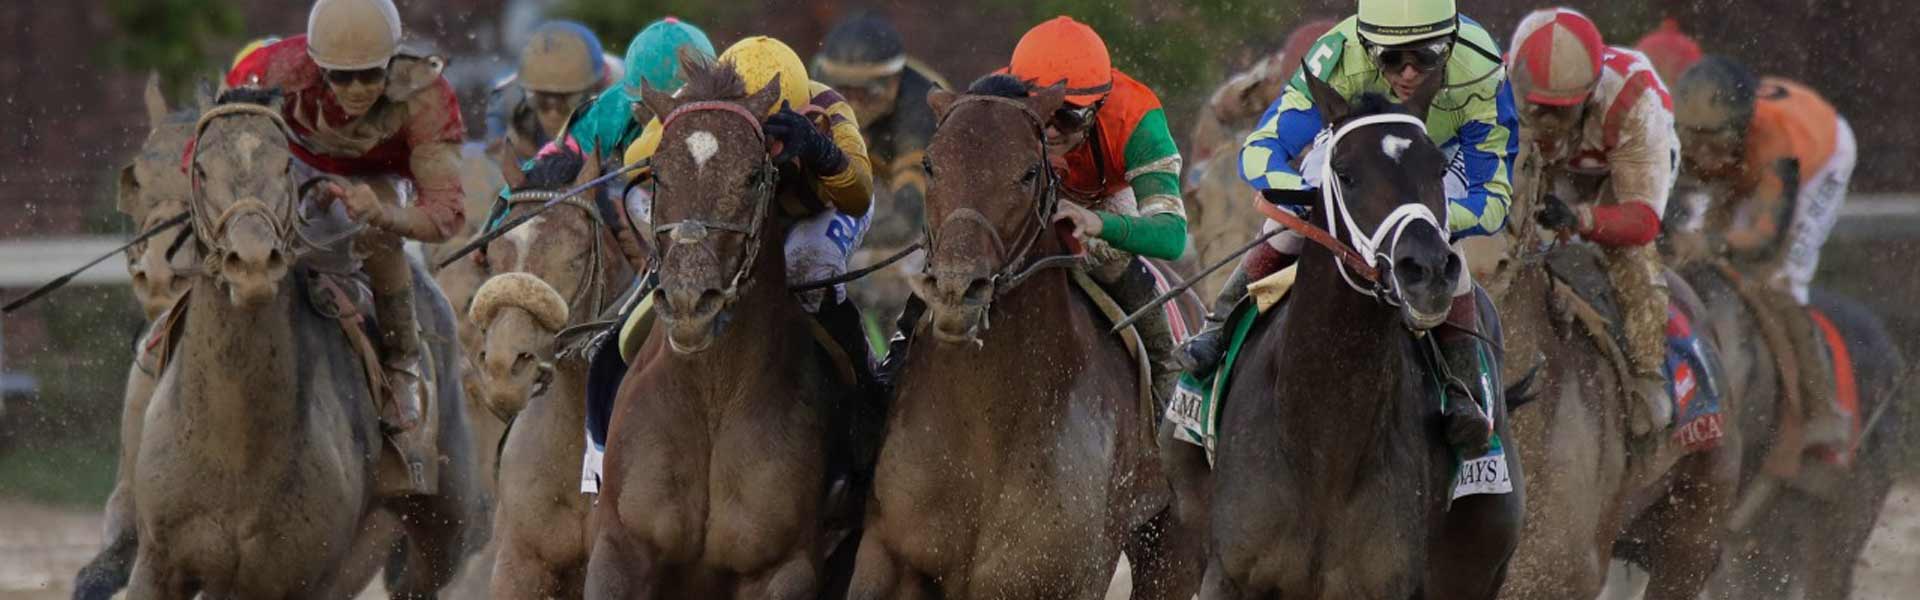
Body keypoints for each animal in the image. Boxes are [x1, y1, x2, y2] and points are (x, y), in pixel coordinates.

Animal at [126, 88, 480, 600]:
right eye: (201, 169)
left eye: (285, 166)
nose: (252, 264)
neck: (234, 446)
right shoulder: (159, 563)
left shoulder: (299, 578)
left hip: (440, 527)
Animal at [576, 57, 864, 600]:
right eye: (658, 174)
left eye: (753, 175)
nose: (691, 303)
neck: (712, 392)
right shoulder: (617, 548)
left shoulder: (784, 567)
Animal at [848, 75, 1190, 600]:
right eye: (930, 164)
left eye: (1029, 173)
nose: (956, 290)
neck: (985, 423)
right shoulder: (886, 554)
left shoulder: (1059, 578)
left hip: (1173, 547)